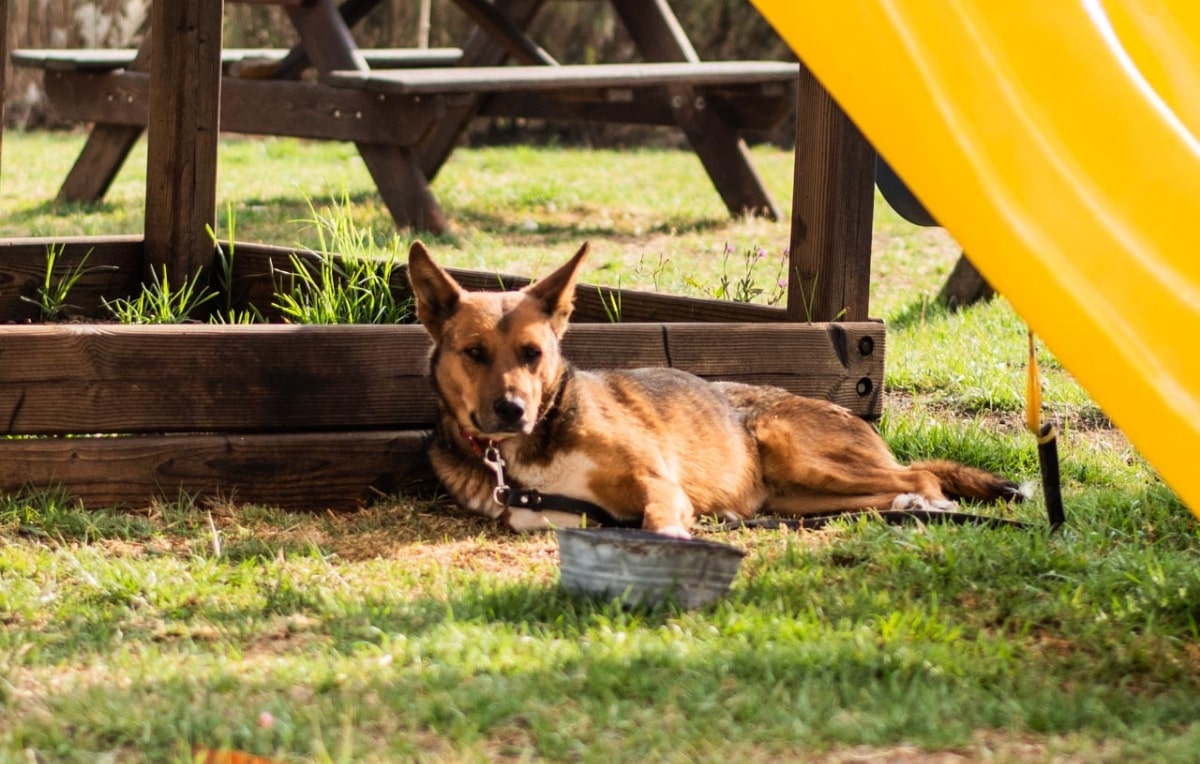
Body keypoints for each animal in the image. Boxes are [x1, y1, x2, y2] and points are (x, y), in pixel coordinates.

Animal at [405, 239, 1022, 537]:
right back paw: (909, 506)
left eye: (533, 354)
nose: (512, 410)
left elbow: (657, 518)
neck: (532, 447)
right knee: (884, 491)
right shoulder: (540, 513)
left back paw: (928, 501)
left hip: (791, 446)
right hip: (795, 493)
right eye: (474, 353)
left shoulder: (657, 483)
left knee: (920, 473)